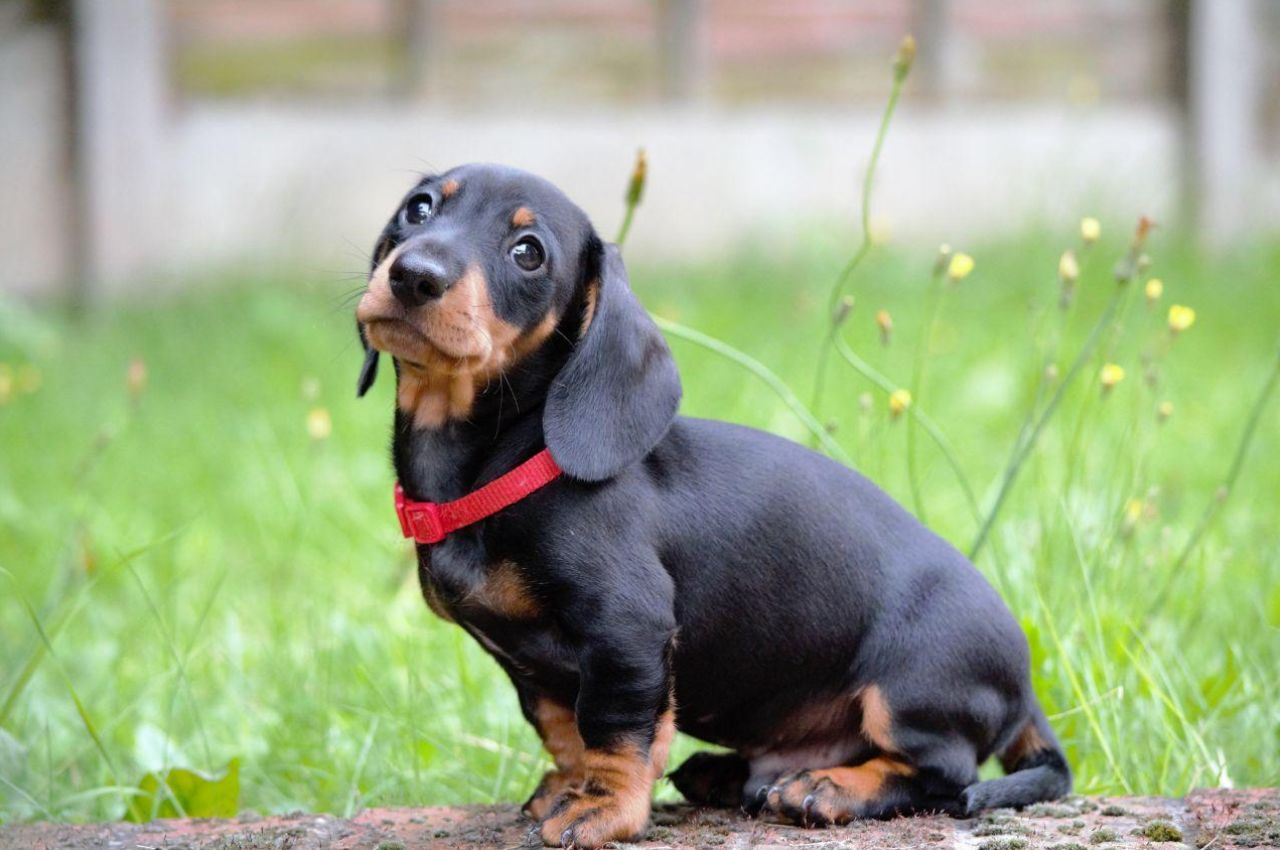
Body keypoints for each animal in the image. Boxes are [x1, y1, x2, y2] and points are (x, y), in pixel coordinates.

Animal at [353, 166, 1070, 850]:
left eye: (527, 252)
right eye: (419, 207)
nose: (414, 275)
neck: (503, 464)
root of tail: (1025, 688)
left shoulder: (627, 629)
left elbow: (613, 729)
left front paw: (603, 808)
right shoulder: (529, 665)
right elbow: (563, 727)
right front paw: (570, 784)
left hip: (913, 685)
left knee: (943, 771)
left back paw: (830, 787)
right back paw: (731, 773)